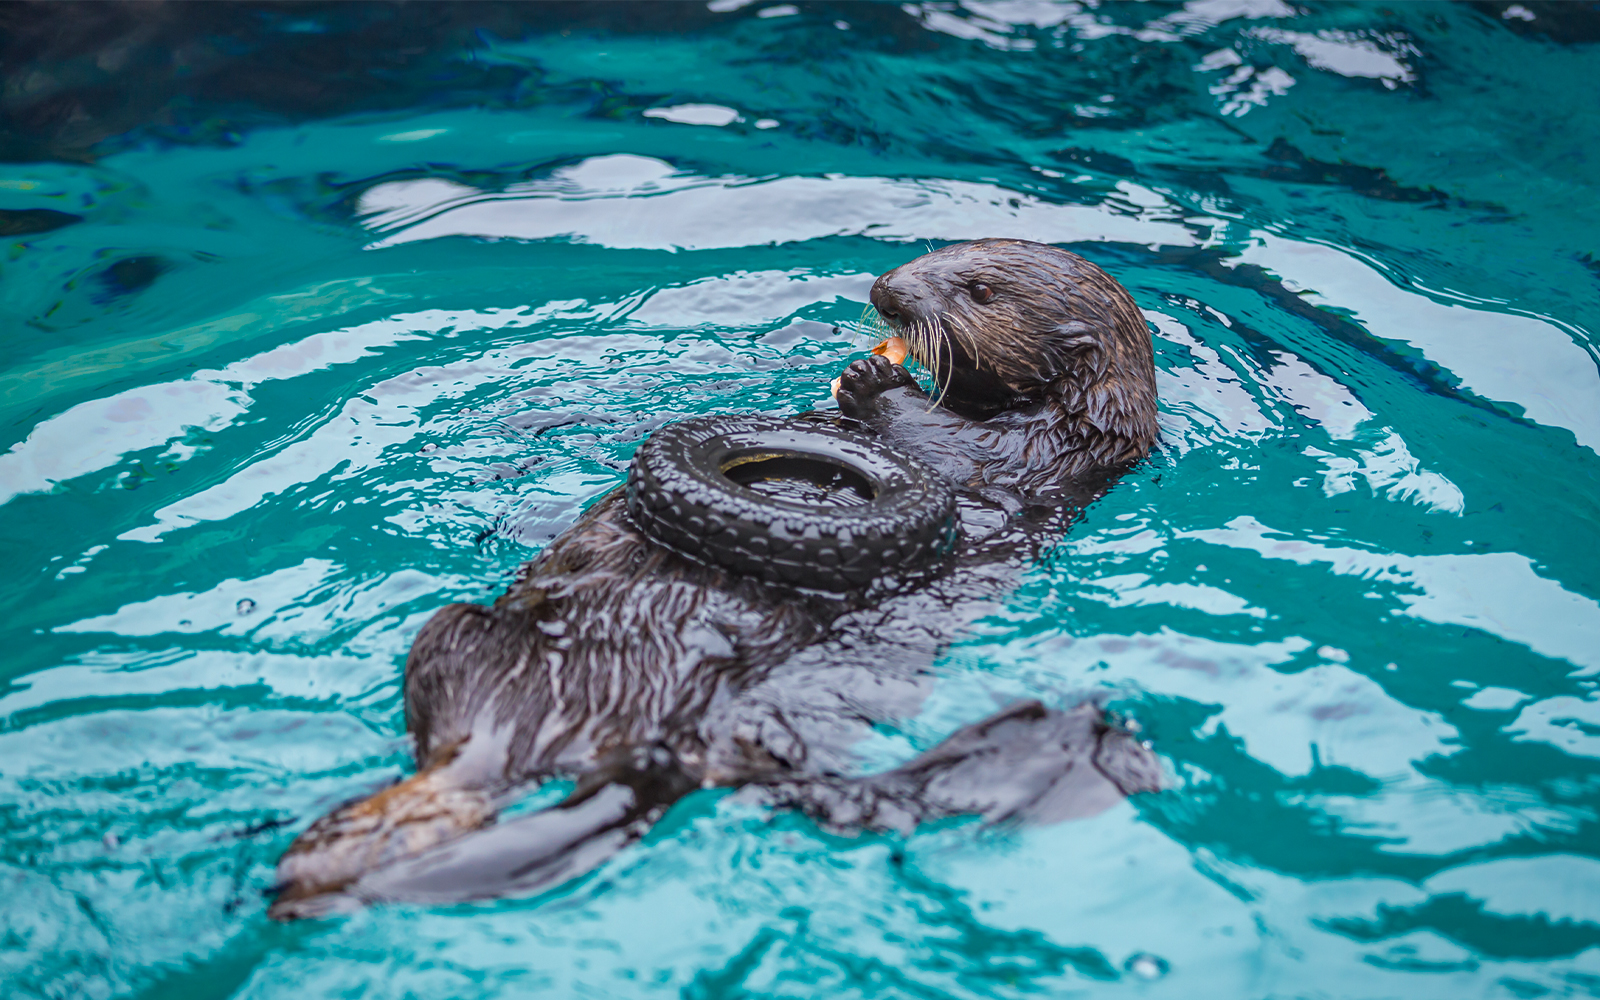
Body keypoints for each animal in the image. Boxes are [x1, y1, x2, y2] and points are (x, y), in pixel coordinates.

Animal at [268, 239, 1162, 919]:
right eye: (942, 249)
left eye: (979, 290)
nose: (883, 289)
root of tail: (509, 737)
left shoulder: (1031, 457)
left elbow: (944, 442)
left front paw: (875, 379)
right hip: (459, 633)